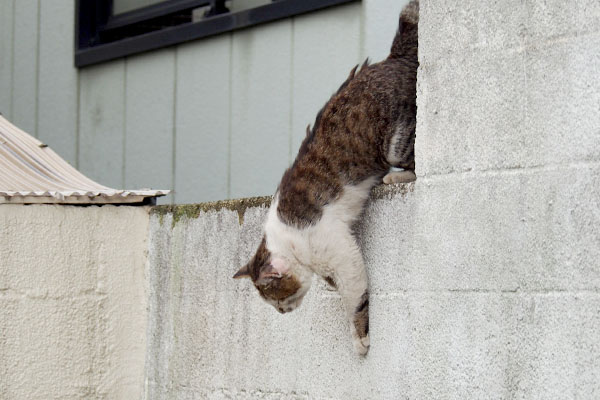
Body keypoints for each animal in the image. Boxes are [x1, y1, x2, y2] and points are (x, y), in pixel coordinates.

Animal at [232, 0, 420, 356]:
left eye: (275, 297)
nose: (282, 312)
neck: (289, 241)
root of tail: (394, 57)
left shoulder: (342, 255)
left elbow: (356, 300)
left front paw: (361, 340)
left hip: (395, 144)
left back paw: (397, 177)